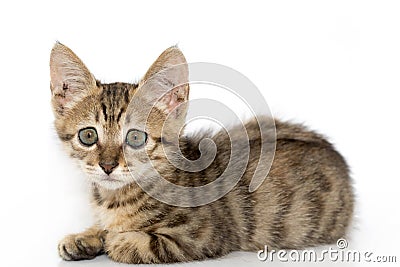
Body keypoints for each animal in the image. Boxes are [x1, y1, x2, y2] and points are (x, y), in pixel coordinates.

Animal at [50, 43, 354, 264]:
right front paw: (85, 237)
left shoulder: (201, 235)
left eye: (135, 138)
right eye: (88, 136)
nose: (108, 165)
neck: (114, 199)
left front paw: (114, 239)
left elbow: (142, 244)